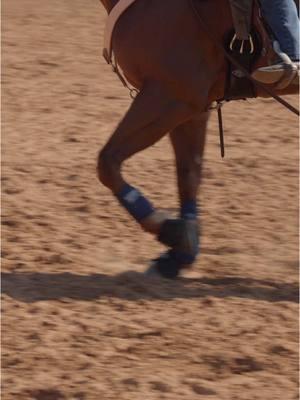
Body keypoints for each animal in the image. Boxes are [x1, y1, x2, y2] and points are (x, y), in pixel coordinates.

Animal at [98, 0, 298, 278]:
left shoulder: (168, 96)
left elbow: (107, 162)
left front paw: (167, 228)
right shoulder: (191, 108)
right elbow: (189, 175)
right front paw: (181, 251)